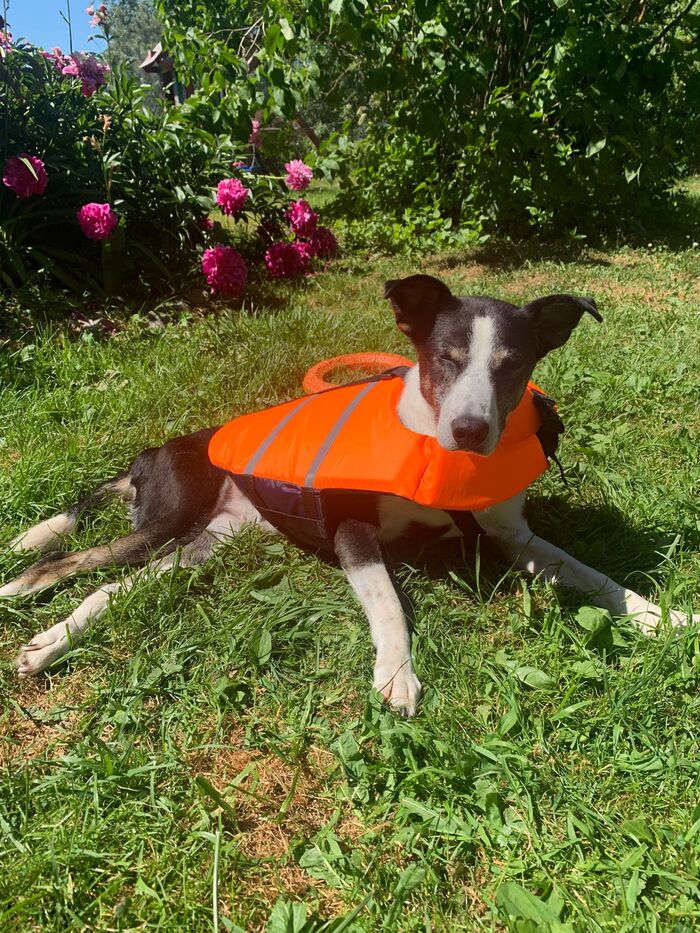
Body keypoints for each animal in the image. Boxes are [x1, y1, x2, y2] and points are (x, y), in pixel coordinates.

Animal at [3, 274, 697, 715]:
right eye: (443, 359)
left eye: (513, 366)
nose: (470, 431)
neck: (436, 460)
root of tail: (154, 451)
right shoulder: (351, 532)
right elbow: (388, 601)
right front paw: (396, 674)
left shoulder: (511, 536)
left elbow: (595, 577)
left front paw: (664, 617)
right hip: (167, 518)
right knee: (70, 561)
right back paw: (31, 604)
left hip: (204, 542)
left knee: (112, 589)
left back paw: (51, 640)